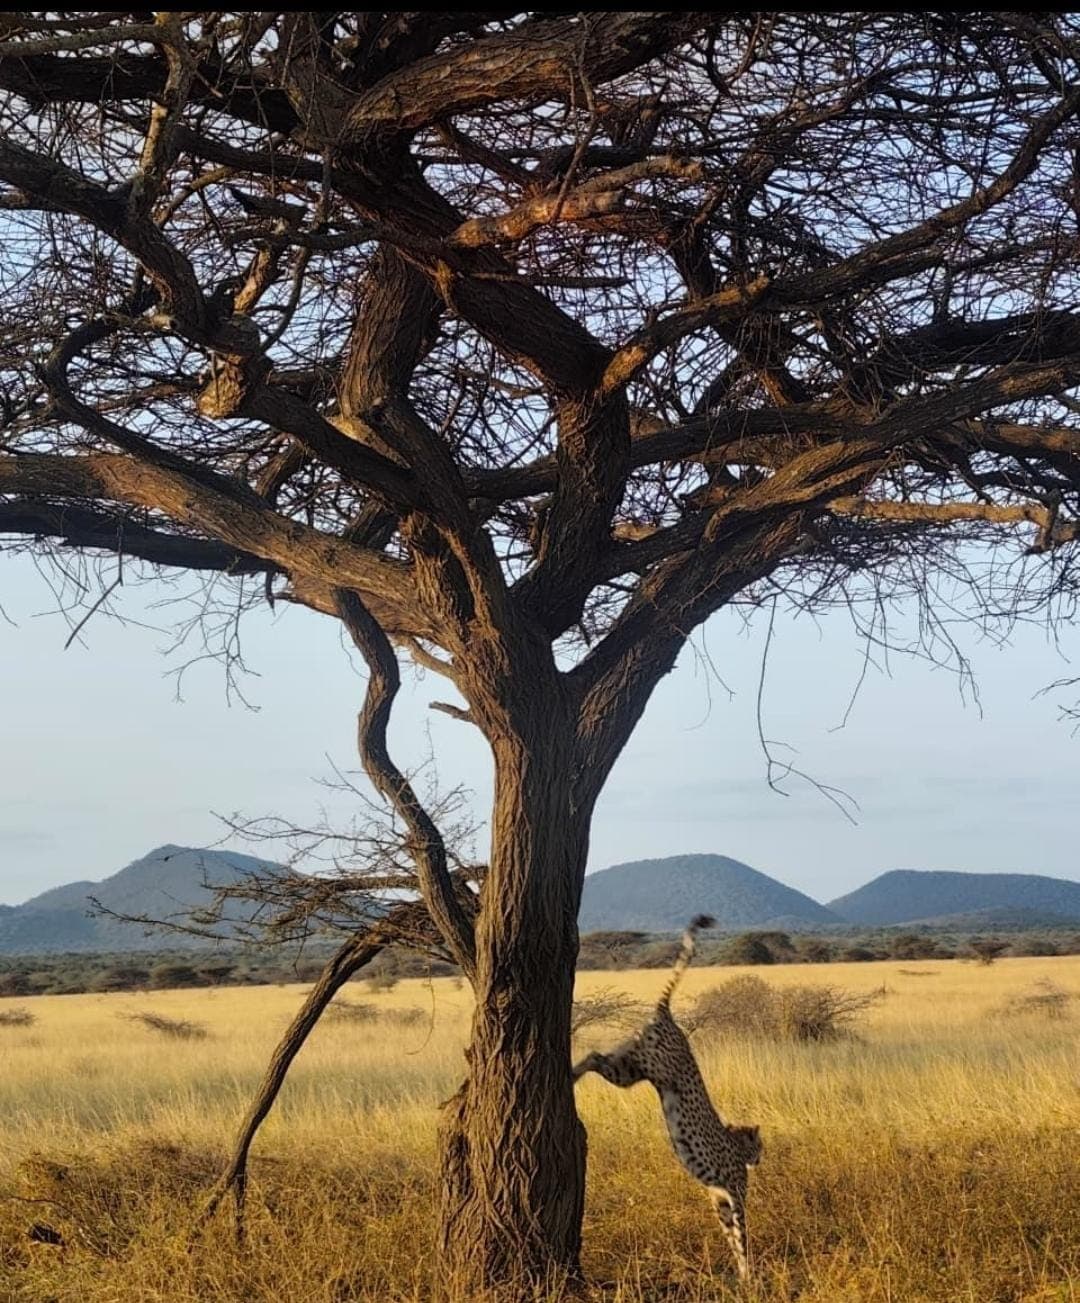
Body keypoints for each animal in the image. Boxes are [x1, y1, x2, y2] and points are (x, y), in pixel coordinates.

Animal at [573, 914, 762, 1280]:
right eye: (759, 1145)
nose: (760, 1158)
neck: (735, 1140)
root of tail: (666, 1013)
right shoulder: (734, 1197)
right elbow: (743, 1236)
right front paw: (749, 1275)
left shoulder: (719, 1200)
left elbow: (731, 1236)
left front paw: (740, 1271)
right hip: (642, 1067)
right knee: (595, 1056)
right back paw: (571, 1073)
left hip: (630, 1067)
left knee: (596, 1055)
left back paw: (570, 1071)